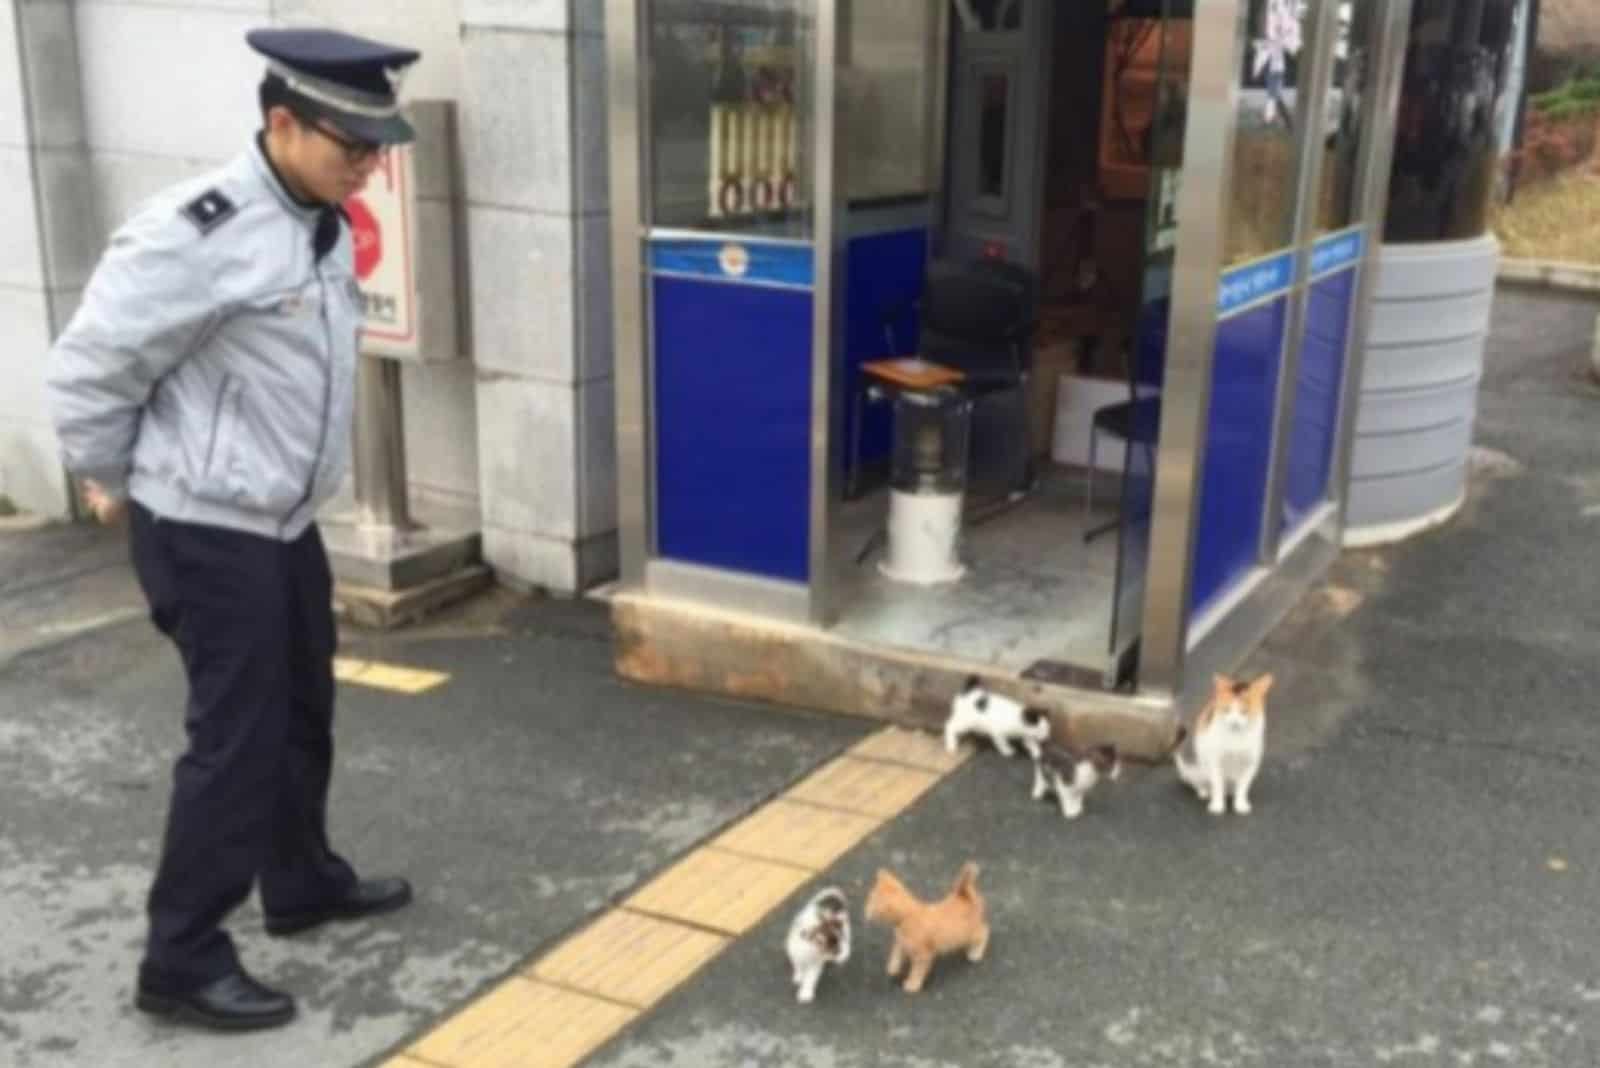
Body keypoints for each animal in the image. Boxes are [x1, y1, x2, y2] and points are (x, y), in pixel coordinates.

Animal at [864, 856, 985, 991]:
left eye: (871, 903)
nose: (865, 910)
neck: (907, 918)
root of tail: (963, 894)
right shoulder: (901, 943)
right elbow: (896, 955)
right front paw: (893, 968)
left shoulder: (923, 955)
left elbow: (917, 971)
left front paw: (912, 984)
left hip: (970, 932)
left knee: (984, 932)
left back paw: (975, 953)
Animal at [1171, 671, 1267, 812]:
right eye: (1226, 709)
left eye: (1244, 711)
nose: (1234, 722)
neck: (1236, 738)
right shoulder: (1215, 761)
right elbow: (1217, 784)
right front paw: (1217, 805)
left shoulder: (1250, 763)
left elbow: (1243, 786)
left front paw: (1240, 804)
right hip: (1191, 766)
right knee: (1197, 782)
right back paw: (1204, 791)